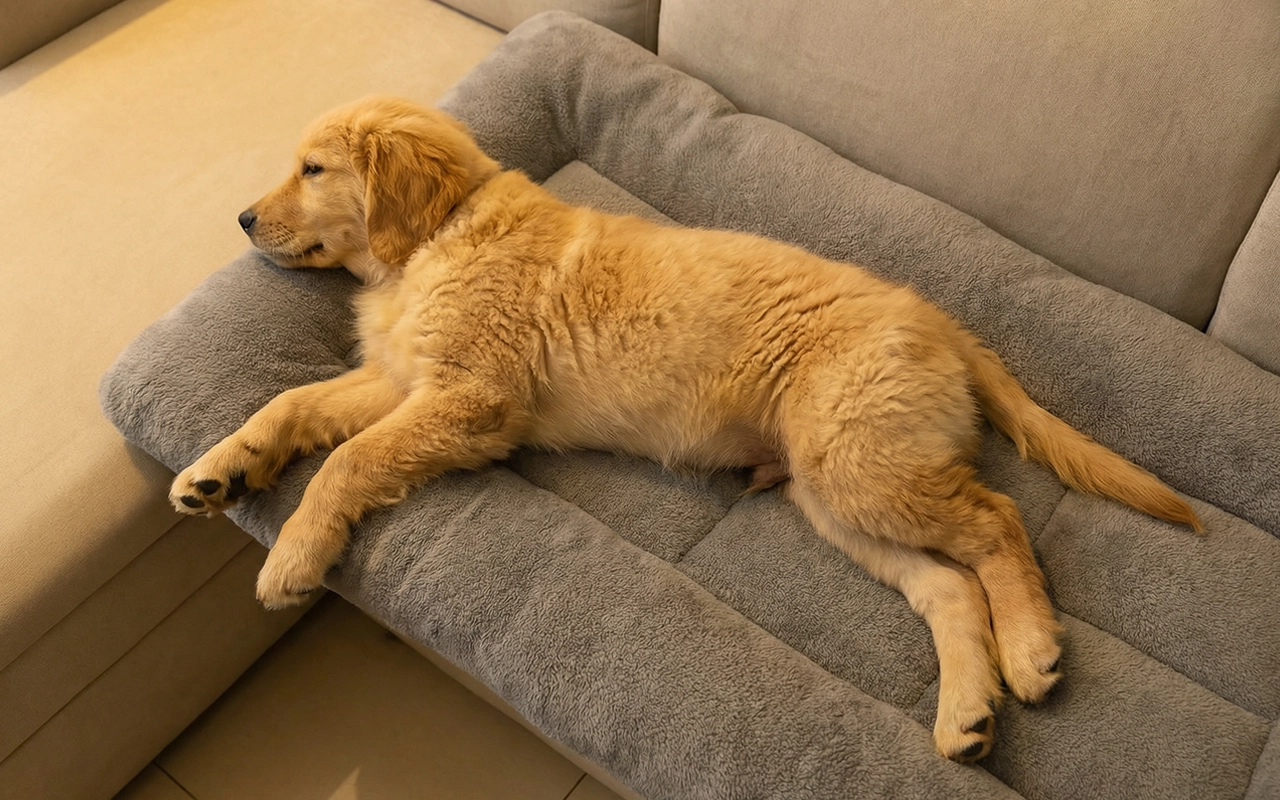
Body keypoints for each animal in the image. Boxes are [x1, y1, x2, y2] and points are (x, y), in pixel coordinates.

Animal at [171, 96, 1201, 762]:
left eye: (313, 169)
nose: (242, 218)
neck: (432, 240)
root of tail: (942, 321)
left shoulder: (470, 400)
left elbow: (348, 460)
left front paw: (292, 556)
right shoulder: (403, 378)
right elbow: (293, 406)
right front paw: (219, 471)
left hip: (859, 462)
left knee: (998, 522)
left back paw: (1028, 651)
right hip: (834, 492)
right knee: (948, 587)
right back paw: (967, 714)